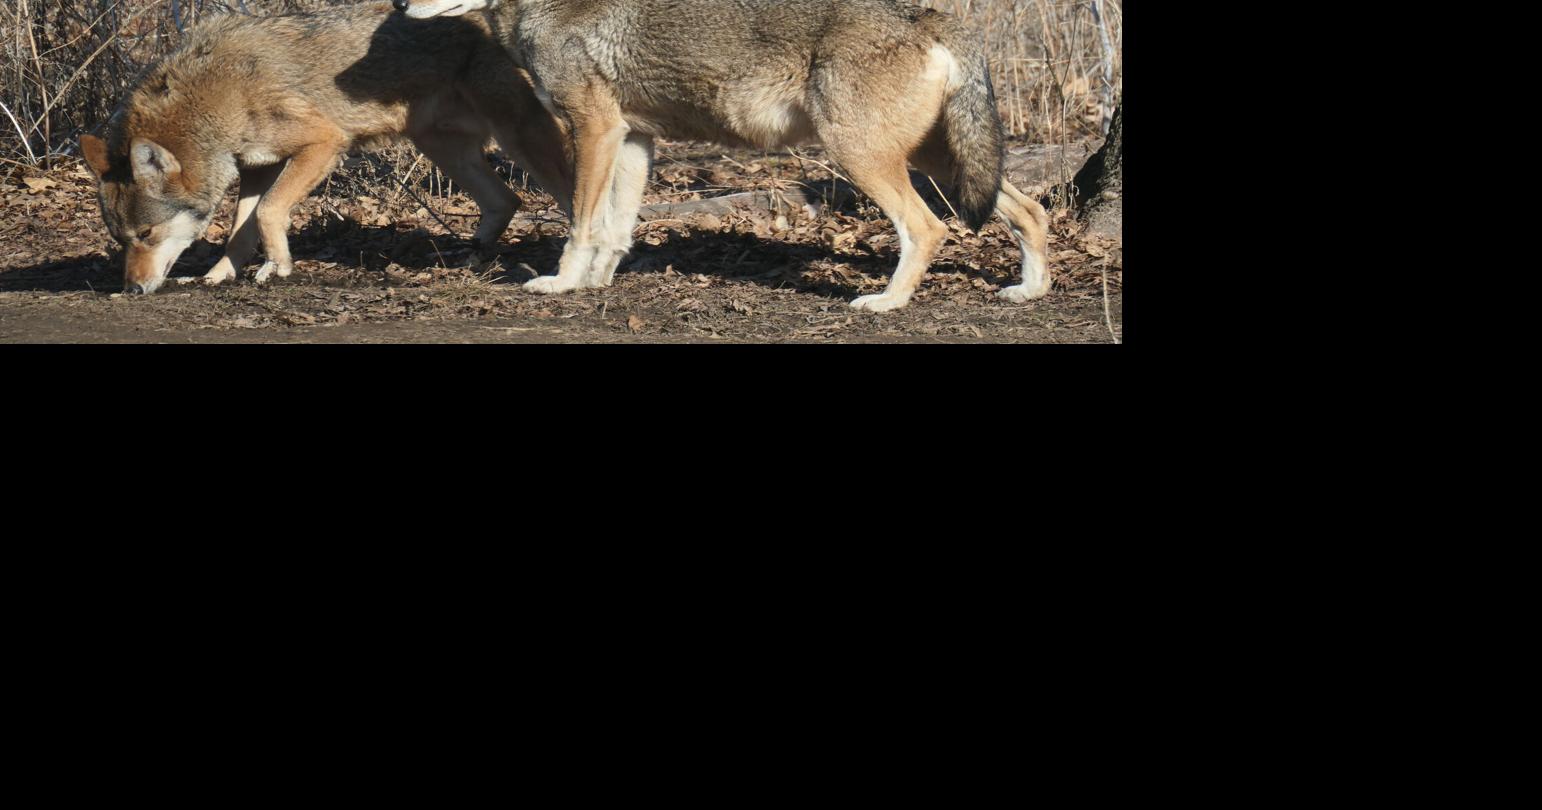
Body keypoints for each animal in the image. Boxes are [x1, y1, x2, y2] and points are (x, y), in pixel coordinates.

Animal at [80, 2, 574, 295]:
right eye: (121, 240)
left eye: (146, 234)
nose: (130, 288)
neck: (215, 100)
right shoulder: (257, 168)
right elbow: (241, 231)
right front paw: (219, 275)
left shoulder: (323, 143)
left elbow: (267, 213)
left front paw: (278, 266)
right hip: (442, 147)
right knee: (506, 200)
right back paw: (470, 252)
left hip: (520, 137)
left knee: (566, 194)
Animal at [397, 0, 1050, 312]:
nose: (401, 5)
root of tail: (932, 15)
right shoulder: (632, 140)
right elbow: (614, 229)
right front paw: (596, 284)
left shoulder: (593, 130)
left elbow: (579, 223)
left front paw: (560, 284)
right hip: (943, 164)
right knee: (1030, 211)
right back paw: (1030, 291)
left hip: (865, 157)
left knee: (928, 228)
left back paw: (887, 303)